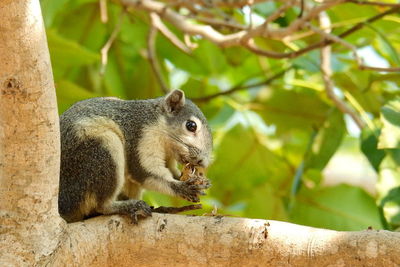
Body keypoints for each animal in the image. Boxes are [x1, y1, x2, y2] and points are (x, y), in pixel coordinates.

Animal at [57, 90, 212, 224]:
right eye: (191, 125)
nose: (201, 161)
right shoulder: (142, 137)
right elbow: (145, 172)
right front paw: (183, 188)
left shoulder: (168, 158)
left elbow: (171, 171)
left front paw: (196, 180)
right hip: (100, 151)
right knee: (101, 205)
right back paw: (128, 206)